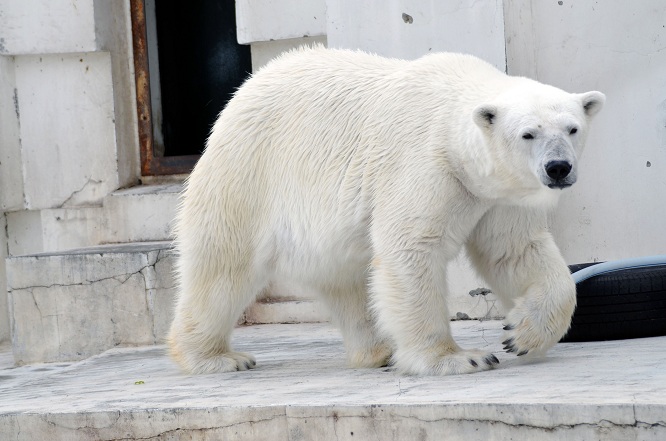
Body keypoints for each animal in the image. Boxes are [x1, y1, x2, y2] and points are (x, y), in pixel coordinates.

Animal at [167, 44, 600, 374]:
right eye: (528, 134)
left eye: (572, 128)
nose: (558, 168)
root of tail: (241, 94)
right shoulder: (428, 165)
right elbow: (412, 247)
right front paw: (459, 358)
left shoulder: (499, 194)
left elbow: (514, 250)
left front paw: (521, 334)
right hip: (249, 176)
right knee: (223, 268)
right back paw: (217, 358)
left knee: (349, 280)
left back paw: (379, 351)